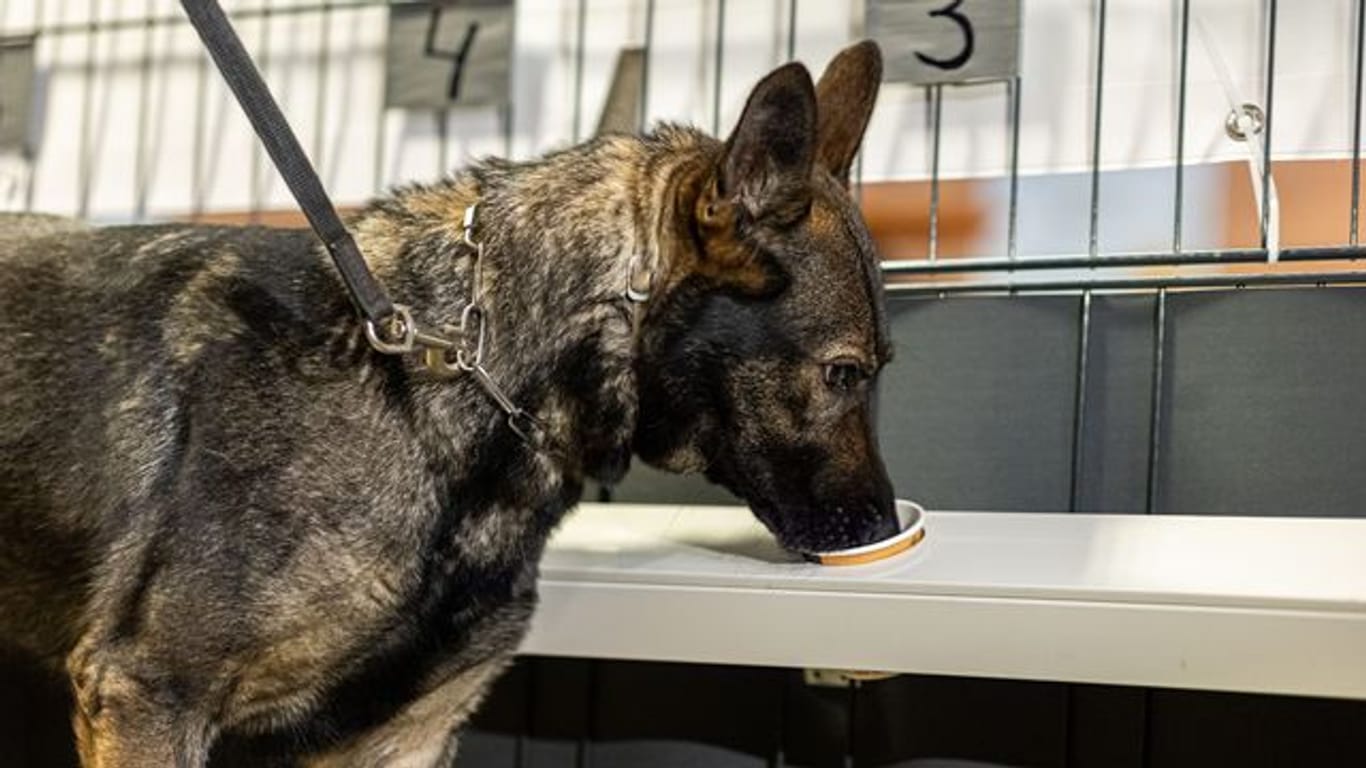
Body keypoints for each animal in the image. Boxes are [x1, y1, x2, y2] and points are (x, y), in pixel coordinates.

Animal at [0, 43, 896, 765]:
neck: (465, 373)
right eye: (843, 374)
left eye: (876, 369)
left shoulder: (404, 737)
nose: (884, 528)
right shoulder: (149, 696)